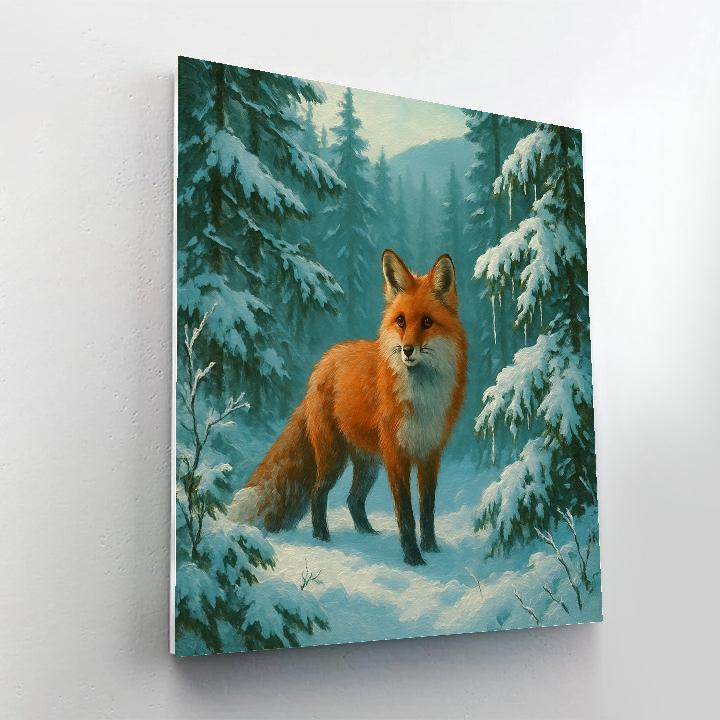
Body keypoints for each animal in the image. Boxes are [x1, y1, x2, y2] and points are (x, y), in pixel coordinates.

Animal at [229, 249, 468, 565]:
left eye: (427, 322)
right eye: (401, 321)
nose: (407, 350)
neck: (421, 396)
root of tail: (322, 364)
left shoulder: (430, 453)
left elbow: (427, 510)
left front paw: (431, 549)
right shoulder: (397, 456)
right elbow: (406, 514)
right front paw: (413, 558)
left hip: (368, 465)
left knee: (353, 500)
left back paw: (367, 534)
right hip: (333, 457)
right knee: (318, 493)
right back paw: (322, 537)